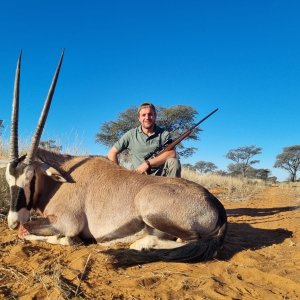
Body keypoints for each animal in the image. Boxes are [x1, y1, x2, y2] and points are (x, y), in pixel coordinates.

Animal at [3, 52, 227, 262]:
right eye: (8, 179)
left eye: (31, 178)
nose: (13, 221)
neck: (60, 181)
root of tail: (215, 202)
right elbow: (26, 231)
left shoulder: (67, 222)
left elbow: (33, 232)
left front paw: (70, 240)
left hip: (151, 208)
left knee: (193, 241)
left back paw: (141, 245)